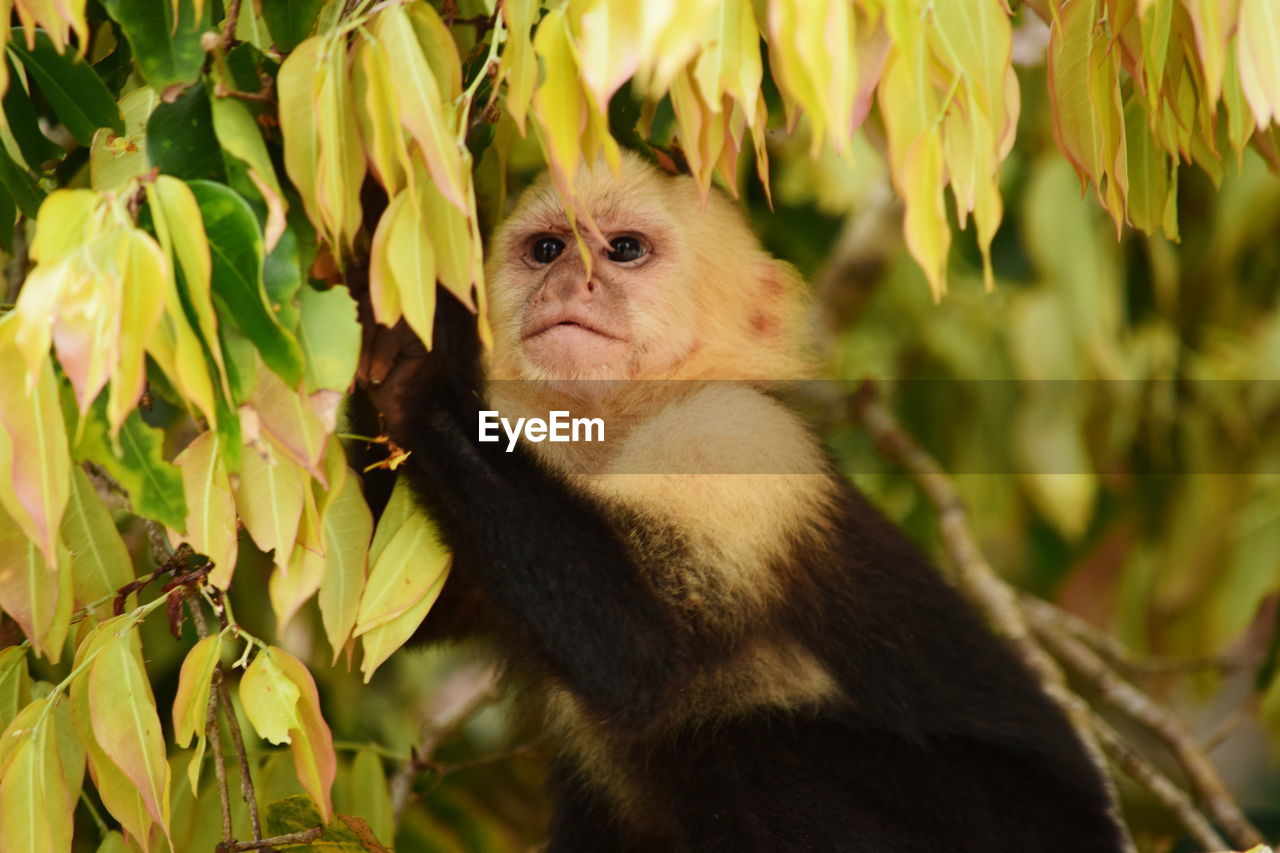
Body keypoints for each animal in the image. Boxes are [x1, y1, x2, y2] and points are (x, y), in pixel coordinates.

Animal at [366, 149, 1126, 845]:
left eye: (625, 250)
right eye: (546, 249)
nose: (568, 280)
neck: (619, 428)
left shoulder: (736, 437)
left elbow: (640, 652)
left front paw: (423, 370)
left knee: (746, 749)